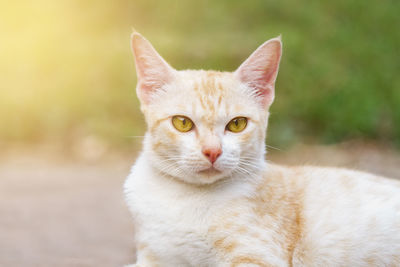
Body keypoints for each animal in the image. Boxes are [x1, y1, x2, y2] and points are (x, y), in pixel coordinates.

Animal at [123, 32, 398, 266]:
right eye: (182, 123)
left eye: (237, 124)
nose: (212, 151)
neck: (185, 197)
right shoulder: (152, 257)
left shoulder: (257, 257)